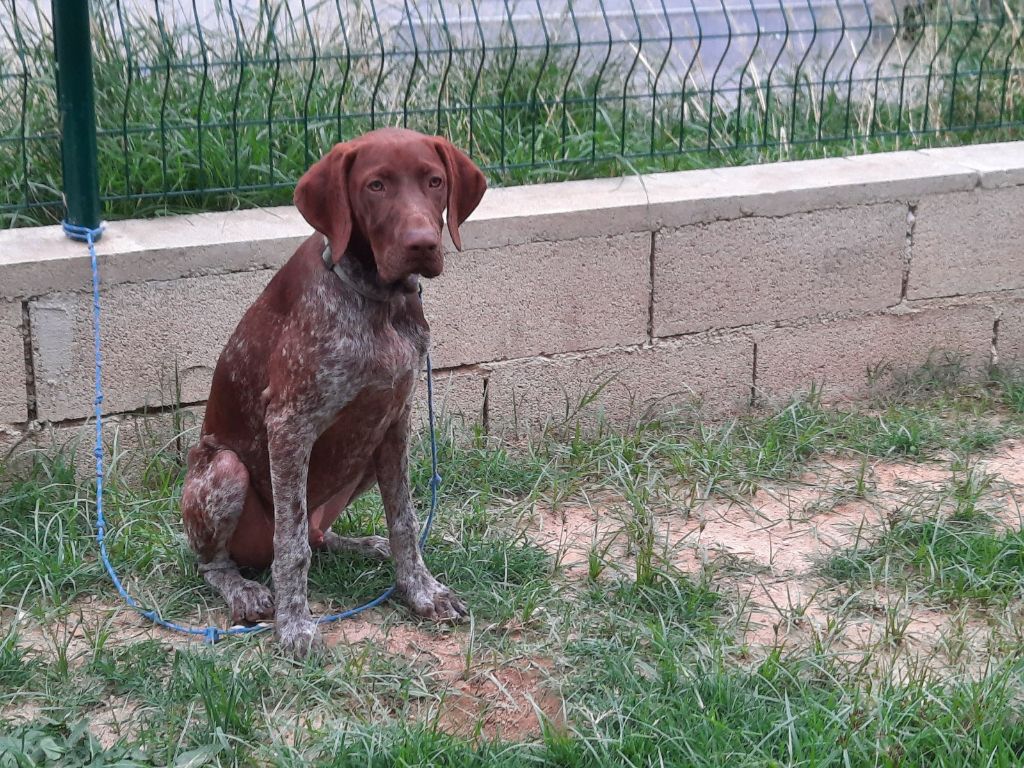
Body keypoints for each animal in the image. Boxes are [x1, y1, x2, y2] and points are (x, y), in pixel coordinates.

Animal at [180, 129, 487, 659]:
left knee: (319, 532)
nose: (422, 243)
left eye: (435, 181)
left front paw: (420, 590)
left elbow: (405, 520)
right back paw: (244, 590)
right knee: (222, 560)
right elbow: (292, 548)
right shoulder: (290, 425)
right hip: (225, 471)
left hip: (363, 454)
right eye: (375, 186)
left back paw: (362, 544)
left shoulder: (395, 419)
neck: (378, 301)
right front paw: (295, 625)